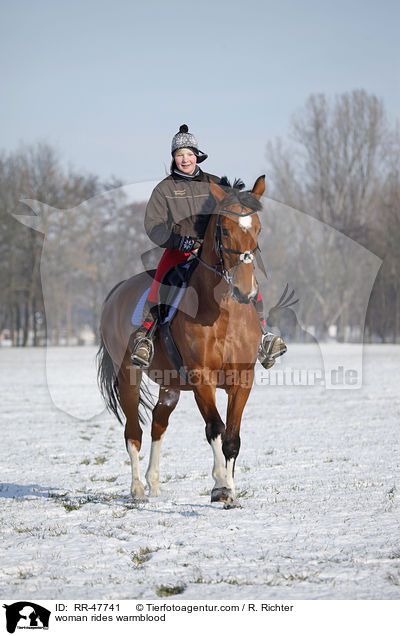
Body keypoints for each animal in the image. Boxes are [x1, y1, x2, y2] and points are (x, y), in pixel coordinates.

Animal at [97, 174, 266, 506]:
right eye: (224, 230)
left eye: (258, 228)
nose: (245, 291)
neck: (223, 313)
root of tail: (117, 292)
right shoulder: (203, 380)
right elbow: (215, 429)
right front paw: (220, 485)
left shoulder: (243, 380)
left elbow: (232, 438)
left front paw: (230, 490)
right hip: (129, 377)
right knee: (133, 432)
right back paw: (137, 490)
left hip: (170, 386)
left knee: (158, 425)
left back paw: (153, 485)